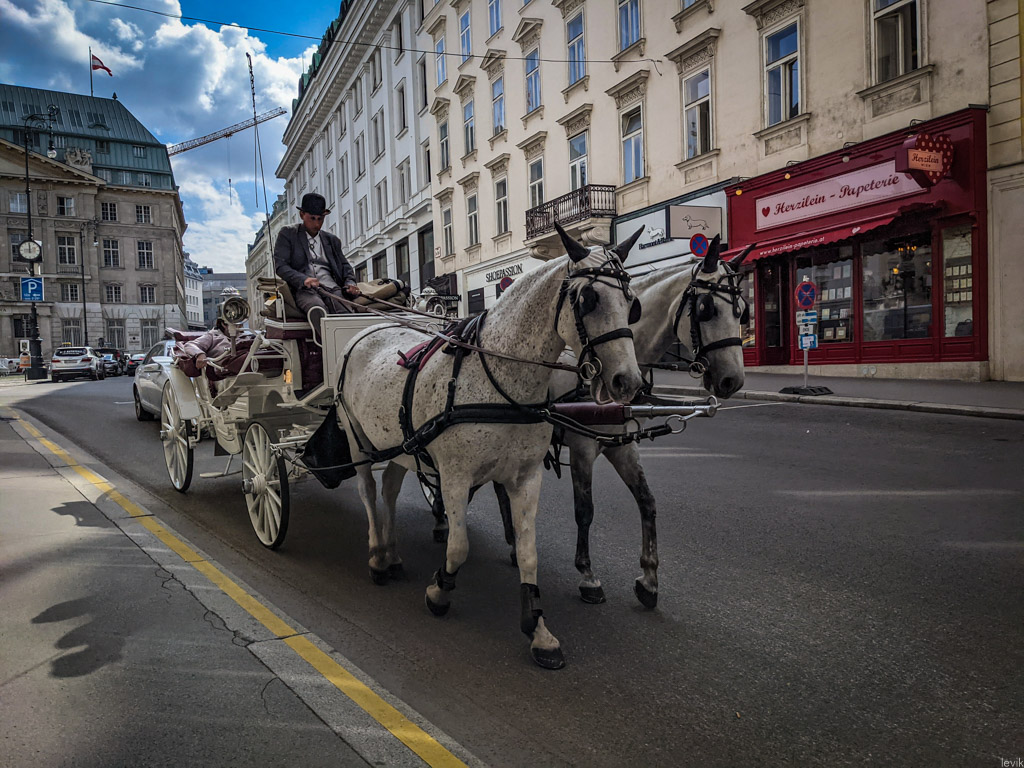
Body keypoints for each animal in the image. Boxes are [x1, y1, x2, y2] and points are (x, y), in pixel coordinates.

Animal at [335, 222, 643, 667]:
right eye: (589, 299)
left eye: (632, 302)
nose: (628, 382)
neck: (501, 377)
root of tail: (369, 328)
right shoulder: (454, 477)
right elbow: (459, 546)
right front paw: (440, 590)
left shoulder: (525, 477)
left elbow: (528, 553)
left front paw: (538, 629)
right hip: (357, 439)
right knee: (368, 490)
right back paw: (377, 554)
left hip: (399, 443)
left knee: (390, 488)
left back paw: (392, 553)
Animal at [491, 237, 749, 610]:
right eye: (705, 308)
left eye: (742, 309)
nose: (733, 381)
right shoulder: (582, 448)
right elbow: (584, 510)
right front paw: (587, 575)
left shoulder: (622, 448)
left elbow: (647, 501)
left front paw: (649, 579)